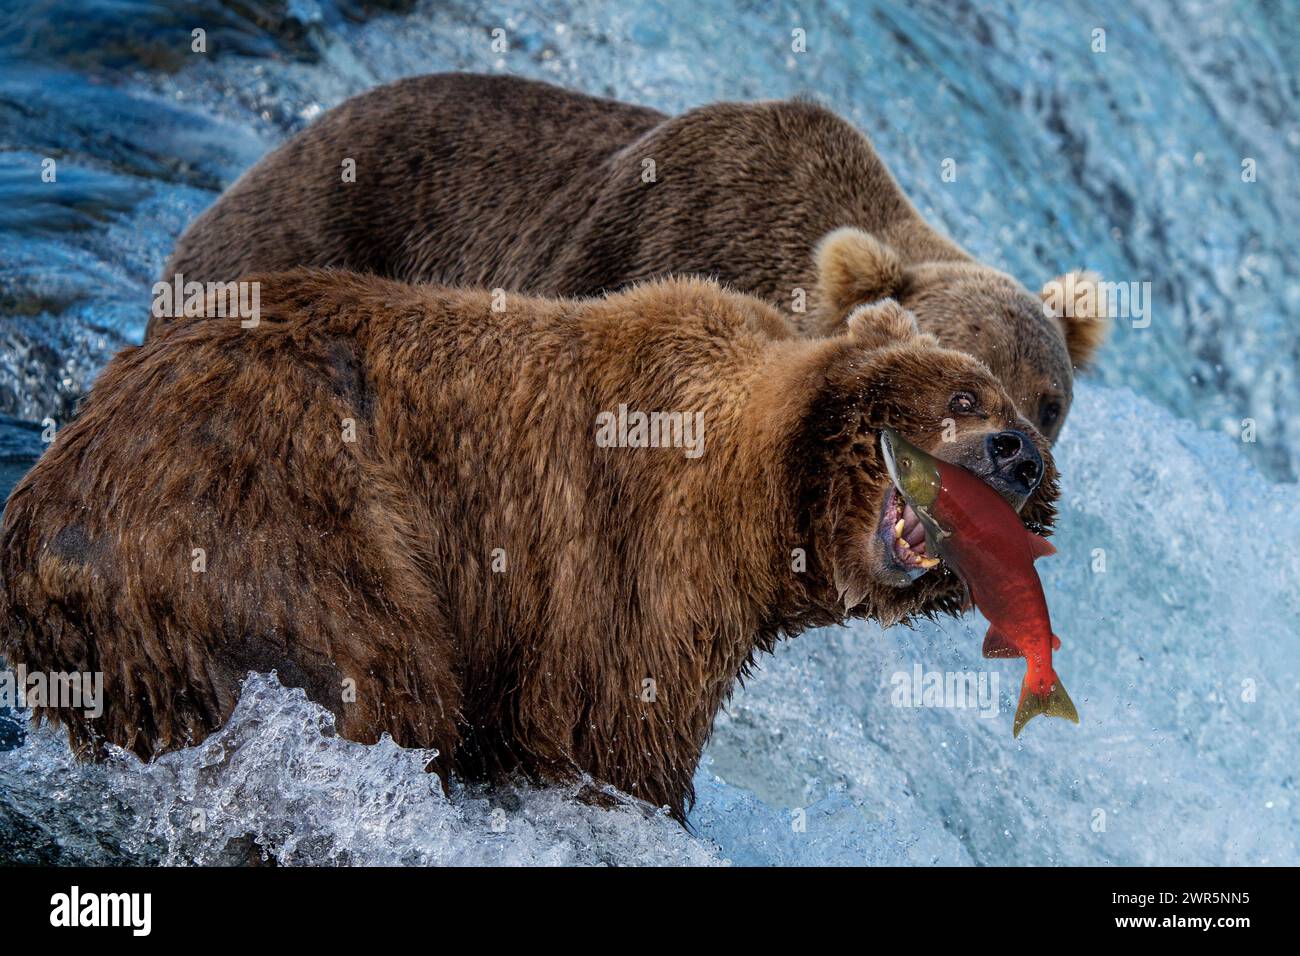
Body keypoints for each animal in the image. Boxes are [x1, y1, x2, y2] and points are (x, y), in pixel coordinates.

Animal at [0, 270, 1055, 822]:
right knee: (382, 680)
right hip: (277, 523)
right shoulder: (632, 576)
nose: (1022, 456)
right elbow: (621, 747)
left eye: (1022, 416)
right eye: (966, 396)